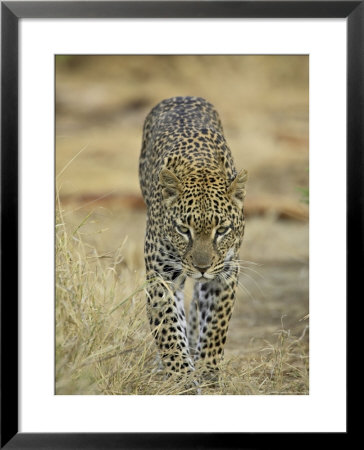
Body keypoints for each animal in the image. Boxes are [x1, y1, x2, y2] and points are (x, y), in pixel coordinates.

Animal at [139, 96, 247, 384]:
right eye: (183, 229)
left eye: (221, 230)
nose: (201, 267)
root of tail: (181, 96)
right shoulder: (160, 275)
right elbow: (168, 330)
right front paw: (182, 378)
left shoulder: (226, 272)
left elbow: (216, 326)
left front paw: (208, 371)